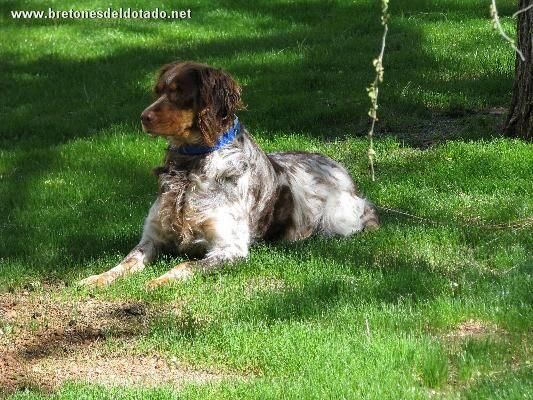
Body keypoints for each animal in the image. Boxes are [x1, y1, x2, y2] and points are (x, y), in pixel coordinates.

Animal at [80, 61, 378, 290]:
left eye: (179, 92)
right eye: (159, 91)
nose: (143, 117)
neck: (191, 165)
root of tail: (338, 167)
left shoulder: (229, 249)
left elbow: (185, 265)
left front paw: (158, 281)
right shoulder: (152, 238)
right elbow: (125, 262)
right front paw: (96, 278)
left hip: (337, 222)